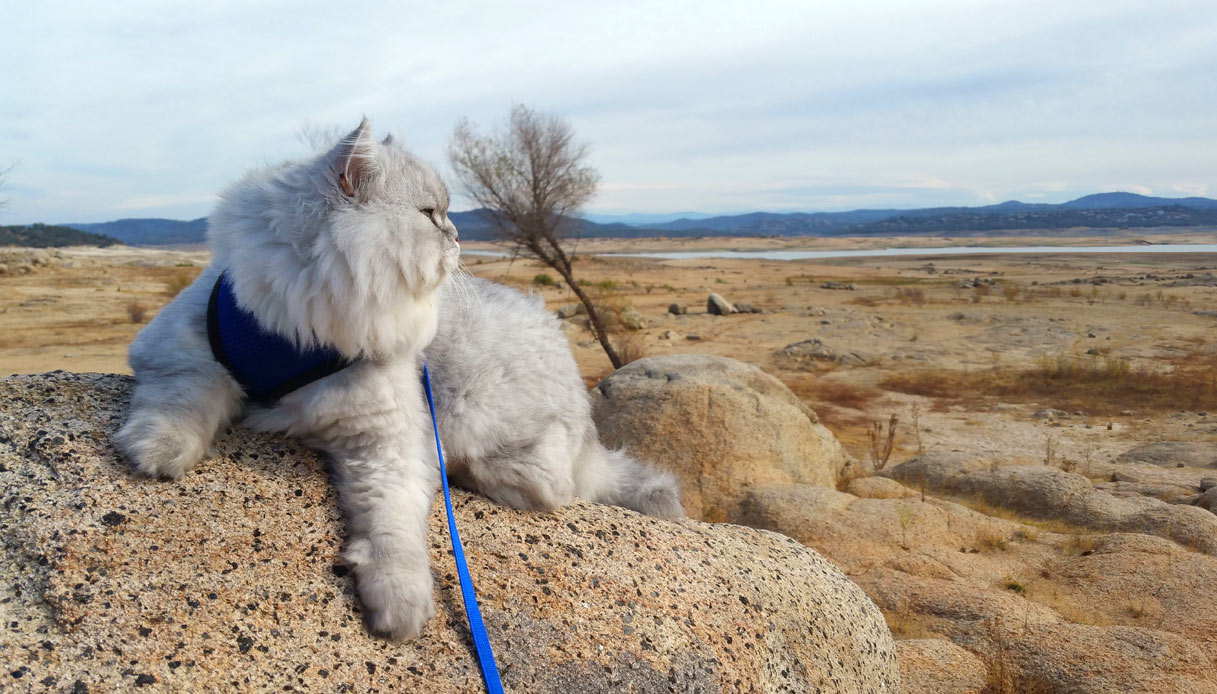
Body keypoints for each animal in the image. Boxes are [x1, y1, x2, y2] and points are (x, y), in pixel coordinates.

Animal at [116, 117, 686, 637]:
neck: (304, 325)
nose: (457, 236)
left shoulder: (390, 441)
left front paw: (401, 605)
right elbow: (182, 402)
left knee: (550, 486)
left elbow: (394, 531)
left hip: (473, 417)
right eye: (431, 216)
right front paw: (157, 453)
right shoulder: (182, 351)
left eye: (446, 217)